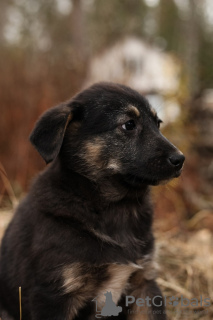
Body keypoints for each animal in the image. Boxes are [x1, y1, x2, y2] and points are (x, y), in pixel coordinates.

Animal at [0, 82, 185, 320]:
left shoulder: (144, 283)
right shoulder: (53, 294)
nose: (180, 159)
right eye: (129, 125)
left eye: (158, 123)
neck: (117, 208)